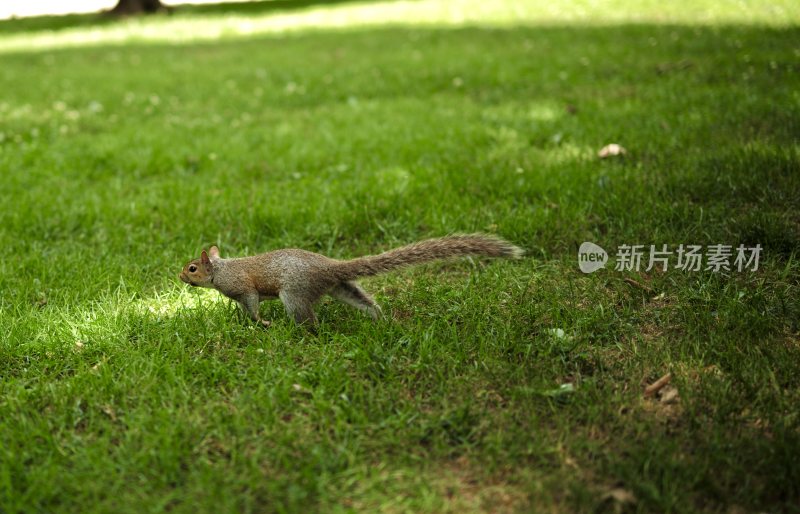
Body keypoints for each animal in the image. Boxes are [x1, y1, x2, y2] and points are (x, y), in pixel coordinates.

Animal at [178, 233, 520, 328]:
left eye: (193, 268)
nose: (179, 275)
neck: (221, 269)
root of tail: (329, 268)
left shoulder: (243, 287)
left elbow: (251, 304)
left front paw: (261, 323)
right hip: (340, 287)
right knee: (363, 301)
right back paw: (380, 319)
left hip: (295, 295)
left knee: (309, 321)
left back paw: (299, 332)